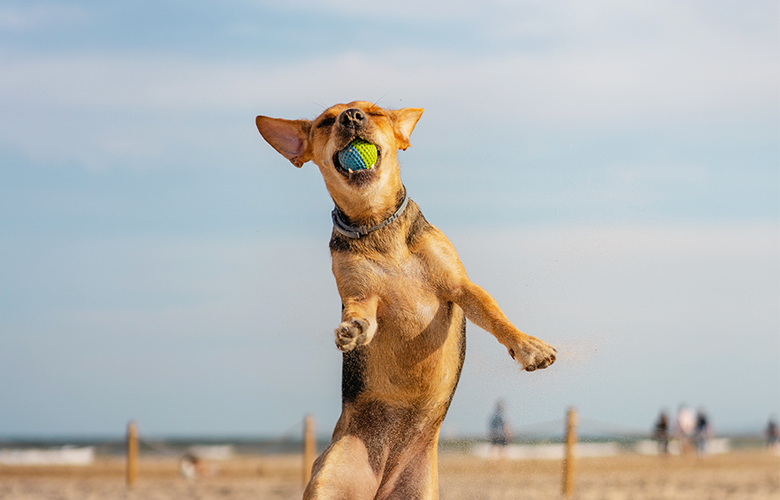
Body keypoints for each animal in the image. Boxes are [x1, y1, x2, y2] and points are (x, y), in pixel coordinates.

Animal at [256, 102, 556, 500]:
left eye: (375, 112)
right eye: (325, 121)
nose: (351, 116)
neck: (377, 224)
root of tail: (381, 484)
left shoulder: (461, 287)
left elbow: (496, 317)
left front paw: (529, 348)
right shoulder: (360, 293)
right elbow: (362, 314)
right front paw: (353, 330)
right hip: (327, 481)